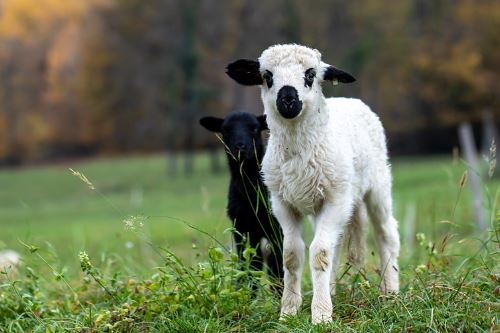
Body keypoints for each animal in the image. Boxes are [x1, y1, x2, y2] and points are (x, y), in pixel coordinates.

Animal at [200, 111, 286, 280]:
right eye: (225, 129)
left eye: (254, 128)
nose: (240, 146)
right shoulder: (241, 227)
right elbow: (248, 264)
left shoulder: (276, 228)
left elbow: (276, 265)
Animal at [226, 44, 398, 322]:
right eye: (267, 76)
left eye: (310, 74)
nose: (287, 99)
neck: (298, 152)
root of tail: (349, 100)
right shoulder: (282, 204)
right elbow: (291, 255)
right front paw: (288, 311)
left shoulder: (335, 199)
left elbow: (319, 254)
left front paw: (321, 315)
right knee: (336, 245)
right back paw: (332, 290)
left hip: (377, 185)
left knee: (386, 234)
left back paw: (391, 291)